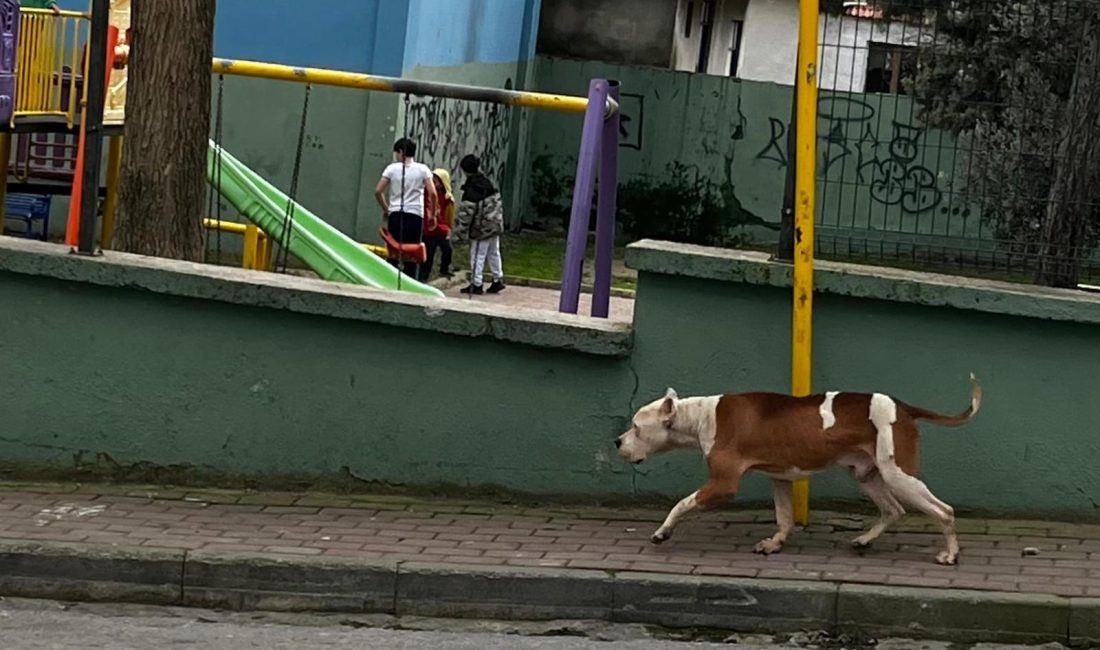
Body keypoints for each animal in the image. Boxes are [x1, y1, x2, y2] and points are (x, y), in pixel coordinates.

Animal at [616, 376, 985, 563]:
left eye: (636, 427)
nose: (618, 441)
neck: (700, 416)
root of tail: (905, 407)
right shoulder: (779, 476)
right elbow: (784, 518)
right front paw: (775, 543)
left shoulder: (723, 483)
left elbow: (680, 504)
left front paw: (662, 532)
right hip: (868, 473)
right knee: (893, 511)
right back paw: (864, 540)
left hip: (898, 474)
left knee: (944, 511)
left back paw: (950, 554)